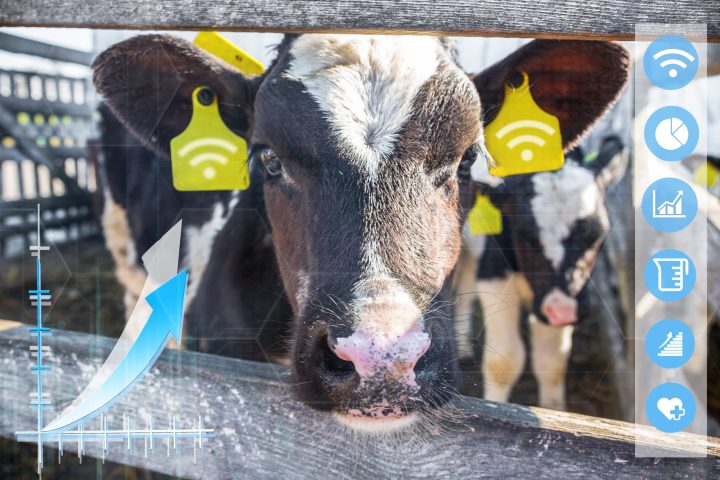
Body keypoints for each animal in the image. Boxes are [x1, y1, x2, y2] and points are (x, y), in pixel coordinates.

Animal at [453, 136, 628, 410]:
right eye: (525, 234)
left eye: (597, 234)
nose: (563, 310)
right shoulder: (494, 274)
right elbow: (505, 360)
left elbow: (551, 362)